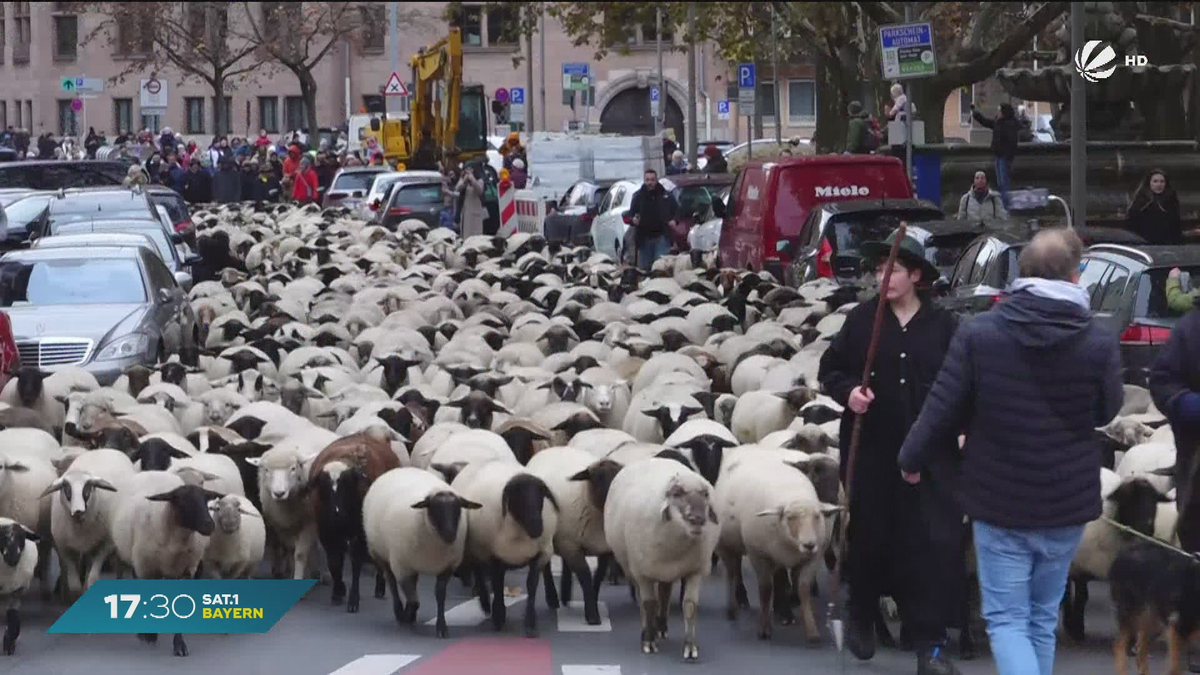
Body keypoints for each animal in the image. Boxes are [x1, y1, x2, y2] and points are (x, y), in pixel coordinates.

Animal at [307, 427, 400, 612]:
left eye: (348, 483)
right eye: (324, 485)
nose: (336, 513)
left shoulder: (360, 533)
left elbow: (356, 561)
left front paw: (353, 600)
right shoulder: (326, 531)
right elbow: (334, 562)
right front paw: (338, 592)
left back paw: (380, 587)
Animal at [360, 468, 482, 634]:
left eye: (458, 509)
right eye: (434, 509)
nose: (450, 535)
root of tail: (398, 469)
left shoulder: (447, 567)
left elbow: (440, 595)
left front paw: (441, 627)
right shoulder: (402, 567)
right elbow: (413, 601)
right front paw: (405, 617)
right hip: (381, 554)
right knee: (391, 582)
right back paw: (399, 611)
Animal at [451, 456, 559, 634]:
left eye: (540, 496)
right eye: (518, 497)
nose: (537, 527)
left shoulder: (539, 554)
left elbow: (531, 584)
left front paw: (530, 623)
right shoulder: (493, 555)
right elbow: (497, 583)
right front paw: (498, 616)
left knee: (547, 568)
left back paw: (553, 598)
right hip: (475, 546)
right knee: (478, 572)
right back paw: (485, 604)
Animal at [604, 451, 715, 658]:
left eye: (705, 495)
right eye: (677, 493)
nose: (698, 520)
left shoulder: (695, 570)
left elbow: (689, 606)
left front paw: (690, 646)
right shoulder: (643, 572)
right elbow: (649, 604)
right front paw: (648, 641)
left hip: (665, 570)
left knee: (664, 593)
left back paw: (661, 627)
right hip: (633, 567)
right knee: (645, 600)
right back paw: (648, 631)